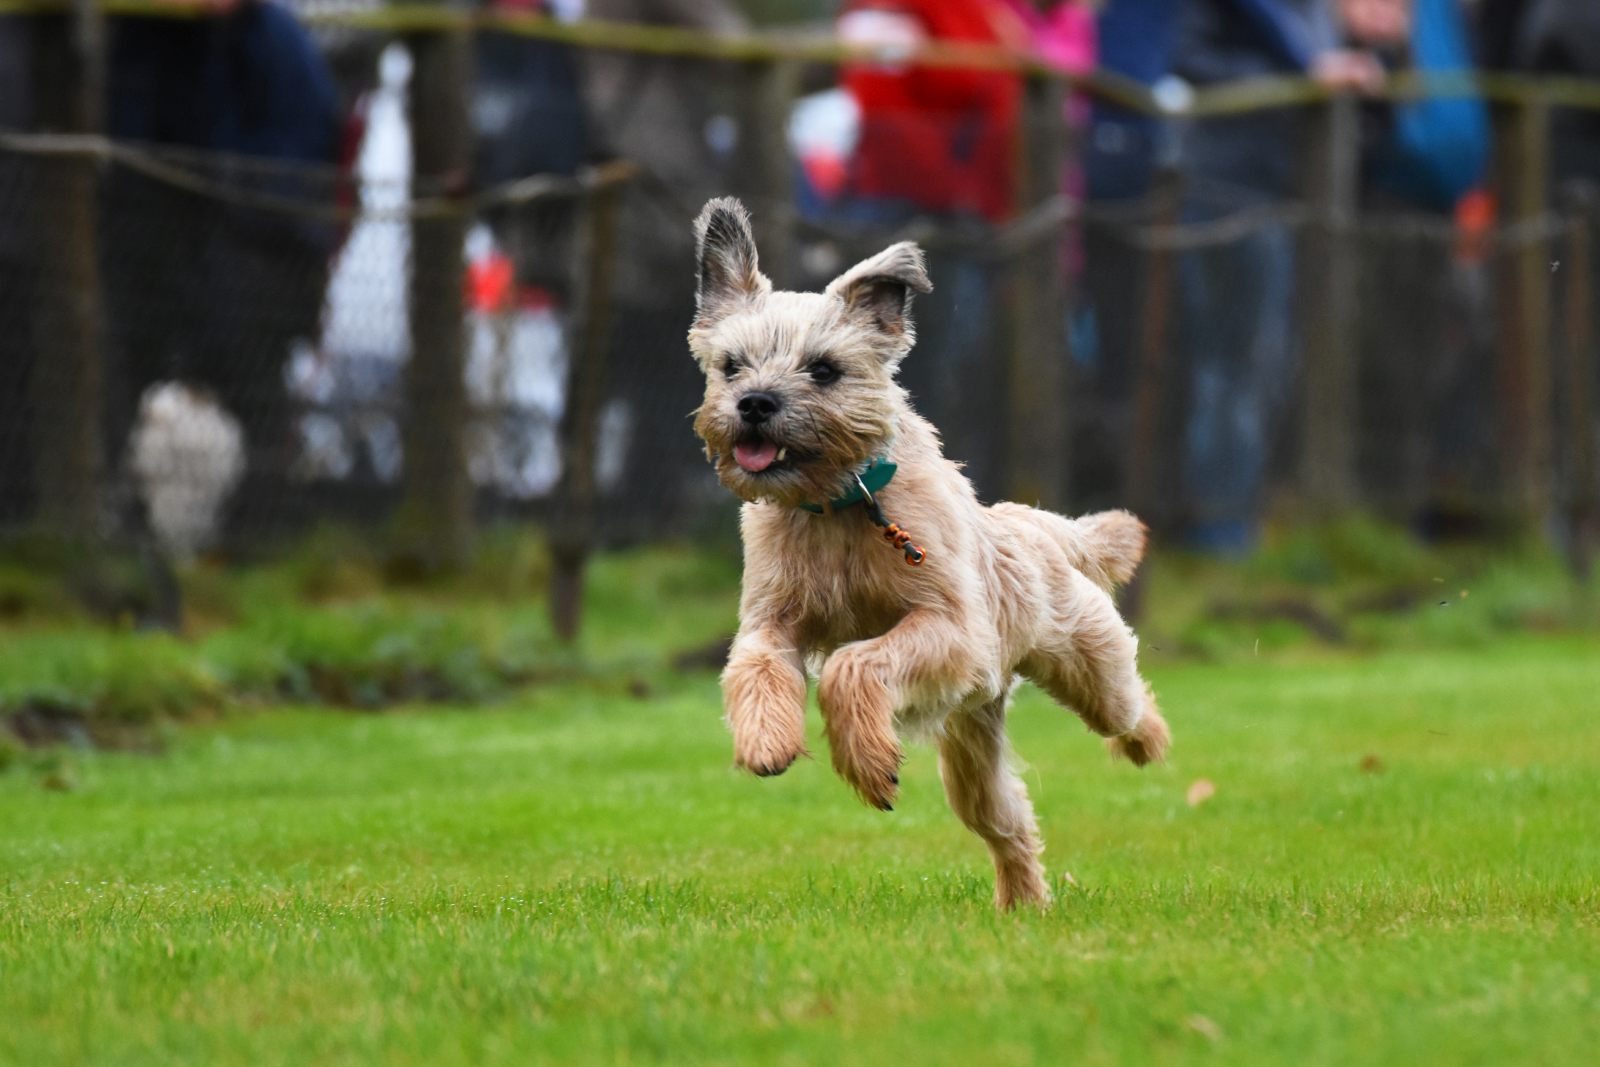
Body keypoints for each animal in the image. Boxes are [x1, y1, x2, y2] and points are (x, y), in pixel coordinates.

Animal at [684, 195, 1164, 908]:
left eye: (823, 369)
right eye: (731, 365)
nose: (754, 403)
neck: (840, 505)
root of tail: (1032, 525)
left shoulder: (950, 629)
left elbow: (853, 662)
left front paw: (867, 763)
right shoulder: (772, 620)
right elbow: (758, 666)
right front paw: (767, 741)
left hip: (1089, 664)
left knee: (1127, 707)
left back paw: (1148, 746)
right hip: (969, 746)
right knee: (1008, 822)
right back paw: (1024, 904)